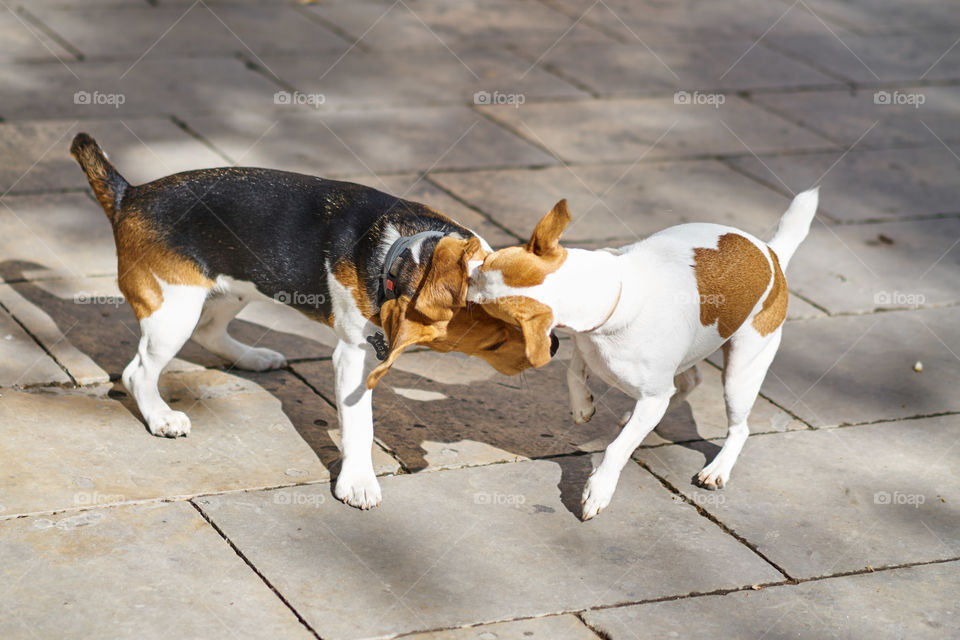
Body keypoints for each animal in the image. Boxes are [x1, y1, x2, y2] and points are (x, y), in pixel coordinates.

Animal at [71, 134, 552, 510]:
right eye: (498, 330)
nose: (556, 348)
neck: (408, 251)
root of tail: (131, 194)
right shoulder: (354, 357)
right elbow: (359, 426)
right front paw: (357, 482)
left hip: (240, 285)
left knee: (209, 331)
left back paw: (252, 357)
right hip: (174, 312)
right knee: (137, 373)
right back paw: (160, 417)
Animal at [468, 190, 812, 520]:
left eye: (485, 305)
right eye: (485, 264)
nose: (466, 273)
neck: (612, 293)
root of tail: (771, 253)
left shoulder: (651, 395)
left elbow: (617, 448)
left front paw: (599, 488)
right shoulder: (586, 347)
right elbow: (574, 373)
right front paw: (582, 407)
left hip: (740, 376)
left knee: (739, 428)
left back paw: (718, 469)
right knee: (689, 381)